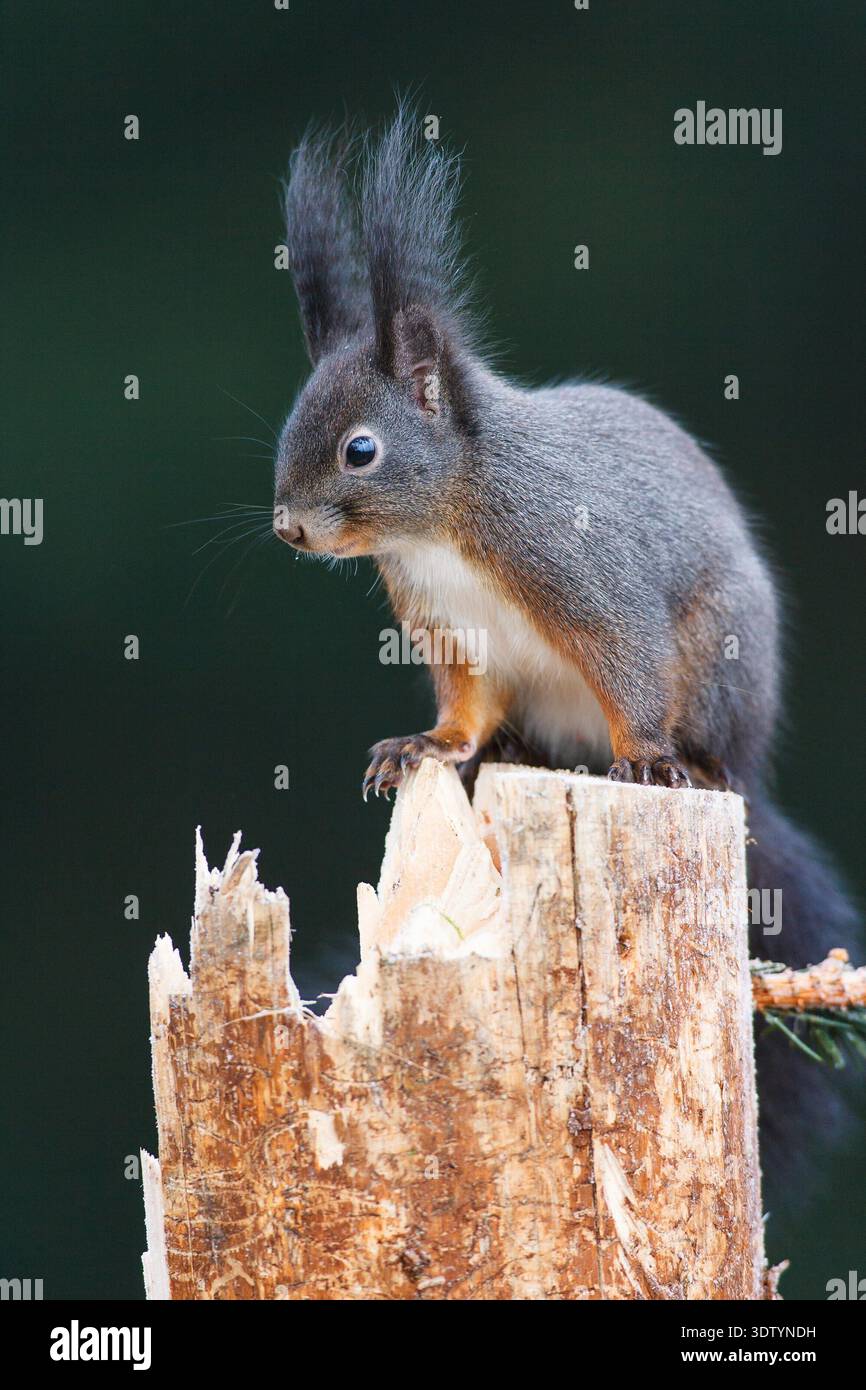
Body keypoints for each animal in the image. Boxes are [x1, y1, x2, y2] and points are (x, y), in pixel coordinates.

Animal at [273, 107, 860, 1180]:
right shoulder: (450, 631)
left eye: (360, 450)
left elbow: (625, 655)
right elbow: (462, 704)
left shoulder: (582, 568)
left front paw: (643, 758)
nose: (289, 529)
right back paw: (512, 751)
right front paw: (429, 747)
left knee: (704, 743)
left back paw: (687, 768)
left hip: (719, 669)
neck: (449, 513)